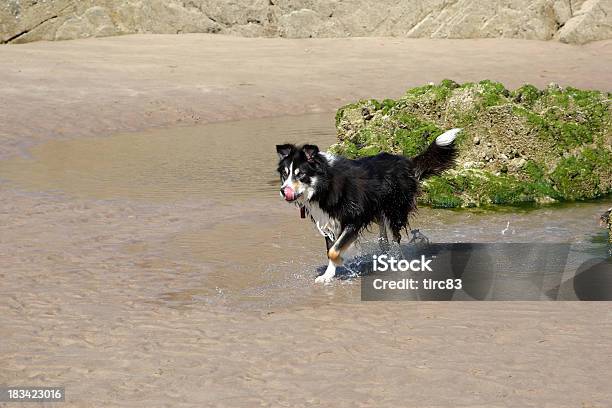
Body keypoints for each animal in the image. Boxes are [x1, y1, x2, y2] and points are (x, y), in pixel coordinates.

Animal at [276, 129, 460, 282]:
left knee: (396, 238)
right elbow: (330, 250)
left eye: (301, 174)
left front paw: (340, 262)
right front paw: (327, 276)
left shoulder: (354, 219)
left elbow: (334, 250)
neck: (325, 184)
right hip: (378, 211)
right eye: (285, 174)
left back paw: (397, 261)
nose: (283, 191)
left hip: (394, 210)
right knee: (384, 241)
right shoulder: (328, 221)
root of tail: (406, 161)